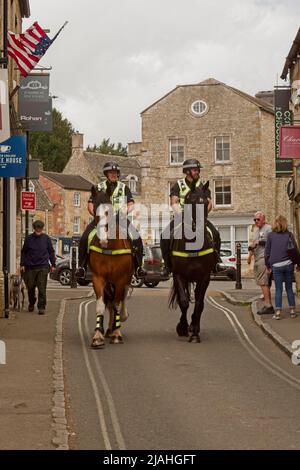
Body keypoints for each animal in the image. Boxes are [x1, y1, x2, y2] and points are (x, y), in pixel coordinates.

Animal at [87, 191, 133, 348]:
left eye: (110, 212)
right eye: (95, 210)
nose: (103, 239)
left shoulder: (121, 279)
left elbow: (117, 304)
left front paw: (117, 334)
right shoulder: (98, 278)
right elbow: (101, 306)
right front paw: (97, 336)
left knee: (119, 301)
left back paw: (117, 324)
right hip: (108, 284)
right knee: (110, 303)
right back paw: (108, 329)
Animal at [170, 183, 217, 342]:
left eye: (206, 202)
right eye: (191, 200)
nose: (200, 227)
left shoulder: (205, 277)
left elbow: (199, 304)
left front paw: (195, 332)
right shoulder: (178, 275)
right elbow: (183, 302)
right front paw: (182, 327)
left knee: (197, 299)